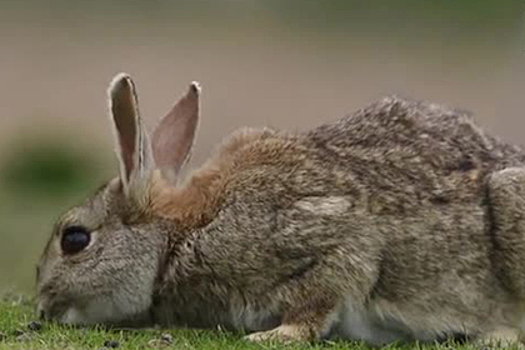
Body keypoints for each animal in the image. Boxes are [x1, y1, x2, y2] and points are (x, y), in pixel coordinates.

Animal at [36, 72, 525, 346]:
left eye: (74, 239)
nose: (42, 308)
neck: (179, 234)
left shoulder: (330, 237)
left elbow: (321, 295)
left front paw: (274, 336)